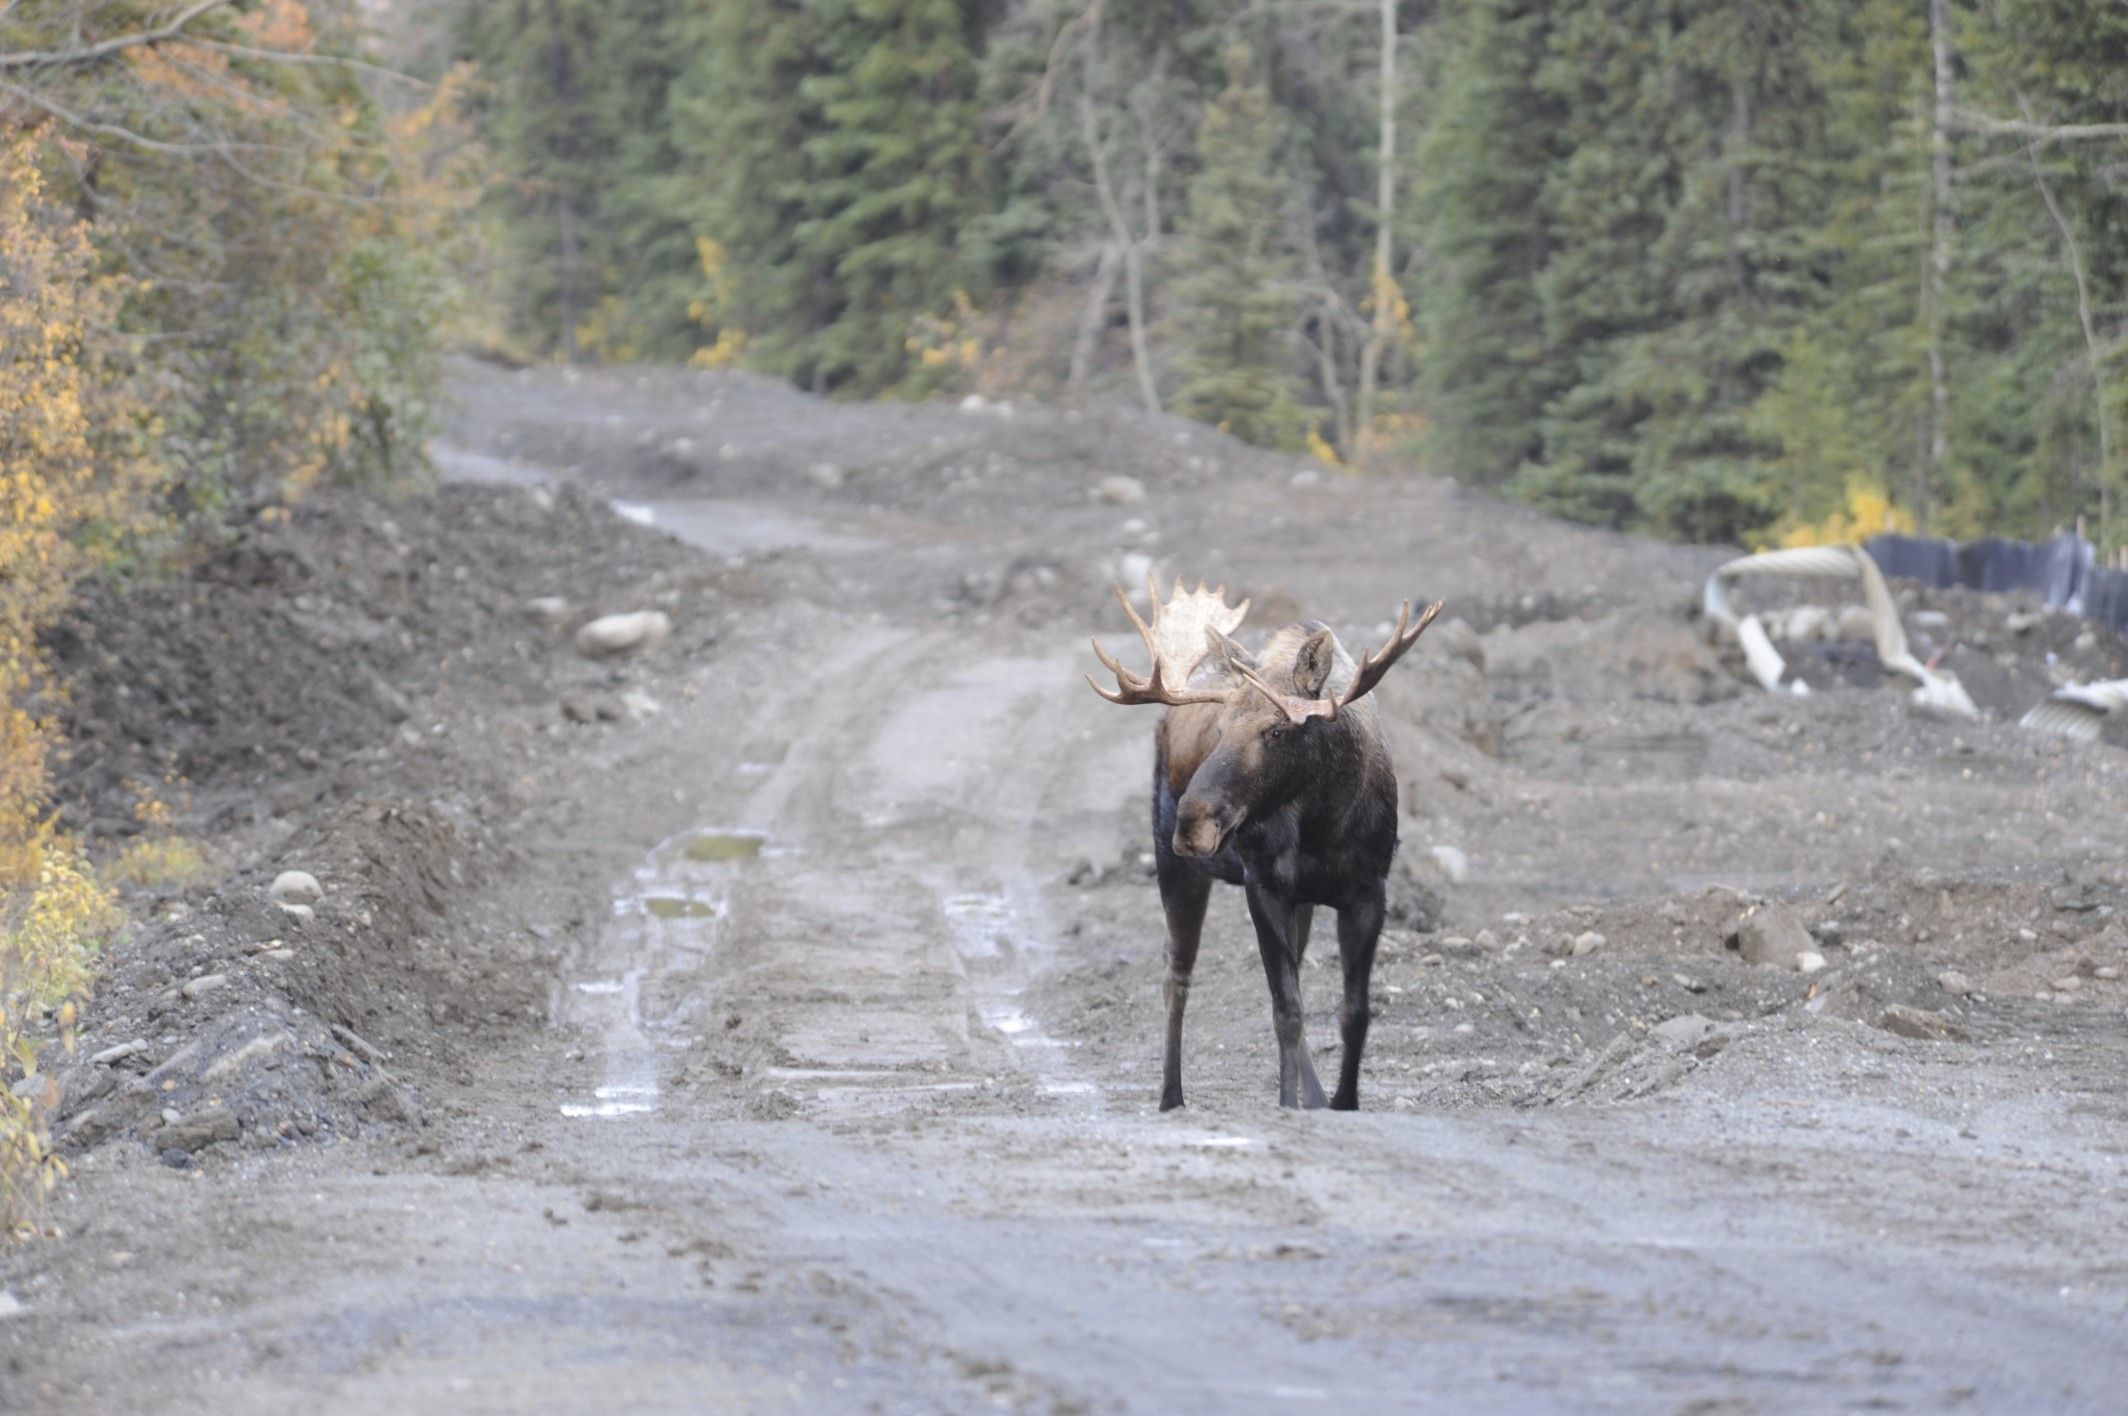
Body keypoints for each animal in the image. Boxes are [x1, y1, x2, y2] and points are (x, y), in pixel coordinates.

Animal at [1081, 574, 1447, 1107]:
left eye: (1277, 730)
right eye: (1221, 727)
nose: (1192, 822)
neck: (1323, 825)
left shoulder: (1368, 890)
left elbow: (1354, 1012)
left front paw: (1343, 1101)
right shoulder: (1264, 886)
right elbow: (1286, 1010)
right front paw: (1286, 1103)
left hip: (1300, 899)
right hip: (1174, 866)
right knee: (1176, 973)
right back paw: (1171, 1096)